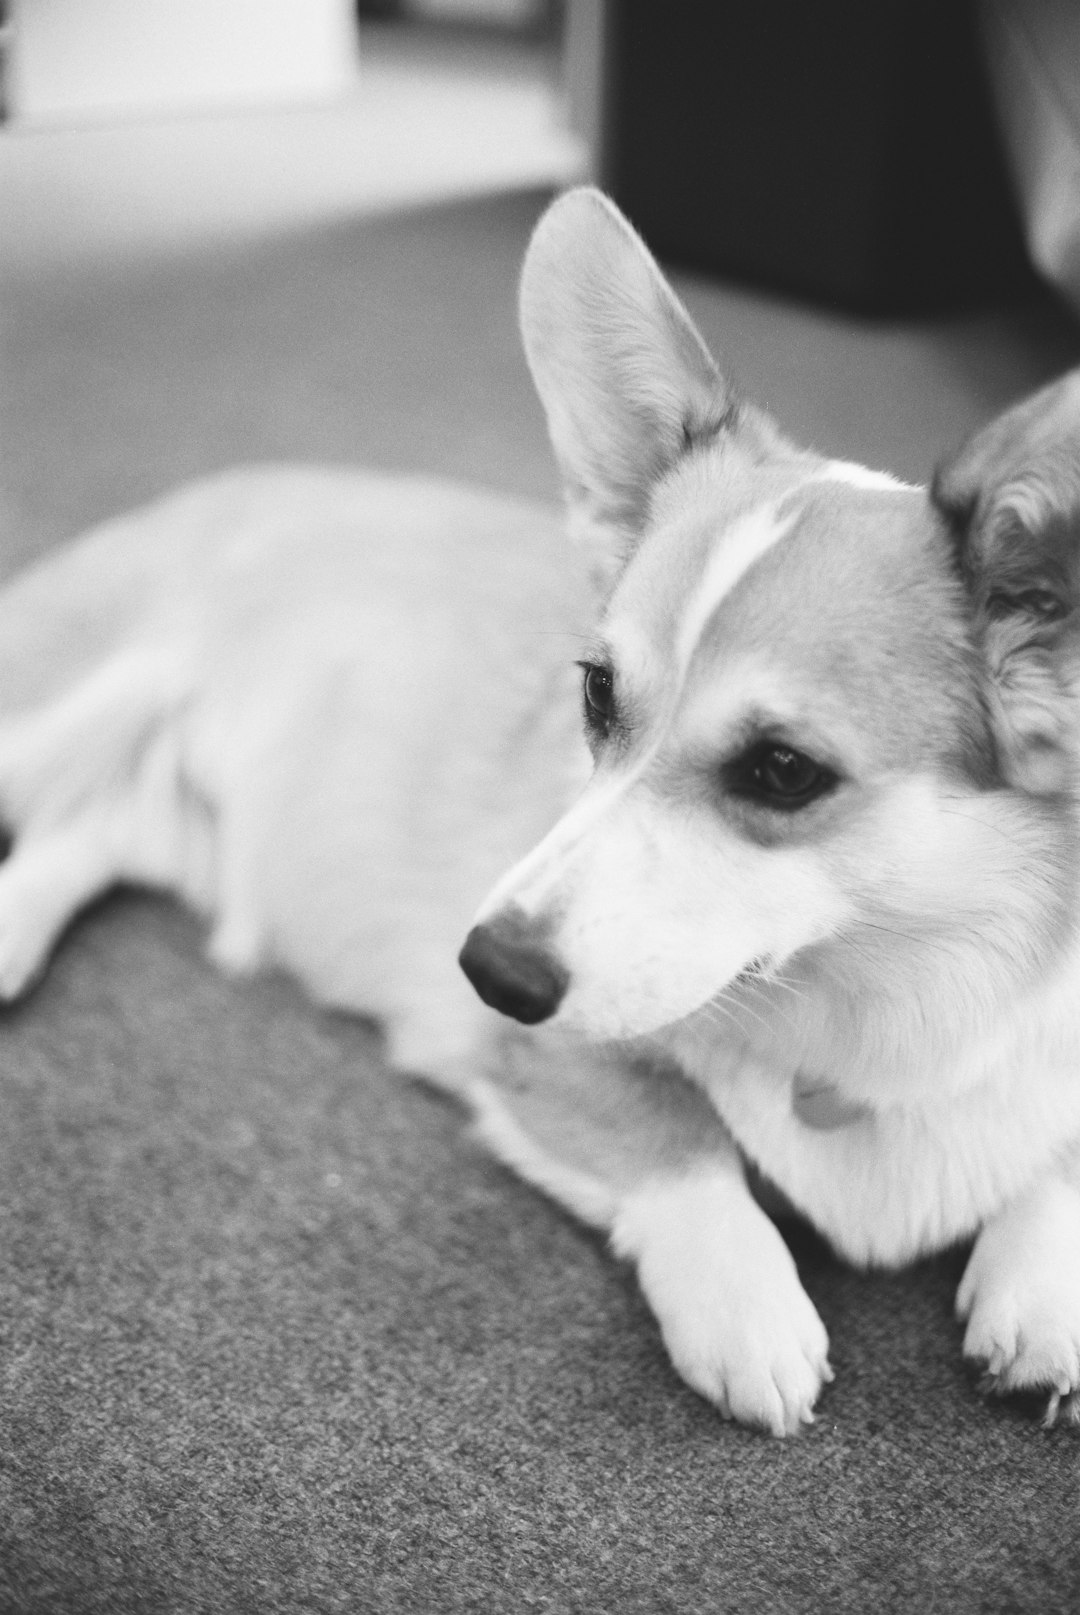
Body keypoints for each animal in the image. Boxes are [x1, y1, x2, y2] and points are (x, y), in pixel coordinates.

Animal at [2, 188, 1078, 1440]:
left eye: (783, 771)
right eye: (598, 692)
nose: (488, 970)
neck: (875, 996)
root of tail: (221, 479)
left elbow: (1054, 1160)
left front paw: (1043, 1287)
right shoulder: (545, 1066)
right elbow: (682, 1145)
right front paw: (751, 1310)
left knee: (87, 830)